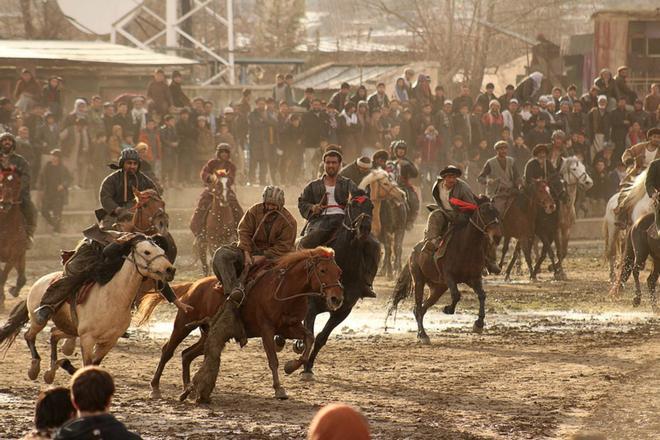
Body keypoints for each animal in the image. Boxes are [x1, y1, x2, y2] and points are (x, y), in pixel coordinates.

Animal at [0, 235, 175, 384]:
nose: (170, 270)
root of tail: (39, 281)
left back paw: (51, 370)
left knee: (54, 334)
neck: (113, 297)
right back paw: (35, 368)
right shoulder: (87, 339)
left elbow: (95, 364)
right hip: (38, 320)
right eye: (147, 251)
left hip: (69, 327)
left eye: (162, 252)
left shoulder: (109, 341)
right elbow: (88, 364)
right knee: (29, 335)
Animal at [139, 248, 346, 402]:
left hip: (208, 335)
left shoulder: (289, 328)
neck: (285, 290)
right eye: (322, 270)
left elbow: (309, 339)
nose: (336, 299)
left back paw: (187, 388)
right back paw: (155, 388)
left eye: (339, 272)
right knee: (168, 351)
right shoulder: (267, 329)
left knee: (186, 354)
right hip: (182, 326)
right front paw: (279, 388)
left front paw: (291, 366)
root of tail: (193, 285)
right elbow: (273, 359)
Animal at [386, 198, 500, 346]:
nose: (497, 236)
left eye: (497, 212)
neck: (466, 247)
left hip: (438, 288)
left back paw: (421, 334)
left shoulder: (473, 278)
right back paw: (423, 335)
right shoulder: (449, 277)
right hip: (419, 281)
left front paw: (478, 324)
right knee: (418, 307)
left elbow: (482, 295)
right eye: (485, 211)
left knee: (422, 309)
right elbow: (456, 295)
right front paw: (448, 309)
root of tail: (413, 252)